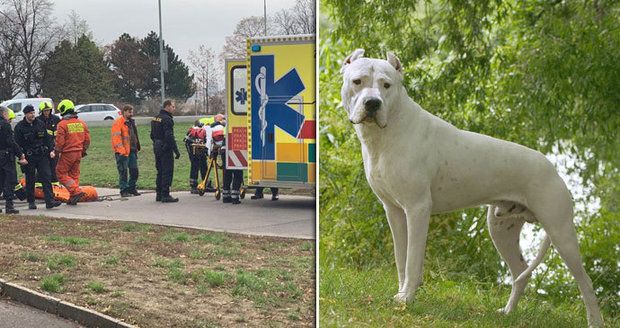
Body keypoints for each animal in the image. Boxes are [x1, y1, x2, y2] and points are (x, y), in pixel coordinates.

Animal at [342, 49, 604, 328]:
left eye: (386, 85)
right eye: (358, 81)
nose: (372, 103)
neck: (388, 131)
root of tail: (553, 168)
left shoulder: (417, 209)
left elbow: (413, 260)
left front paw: (408, 298)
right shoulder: (394, 211)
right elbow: (401, 259)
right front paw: (401, 294)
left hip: (561, 233)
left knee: (585, 282)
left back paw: (595, 321)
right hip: (501, 230)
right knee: (520, 272)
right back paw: (507, 312)